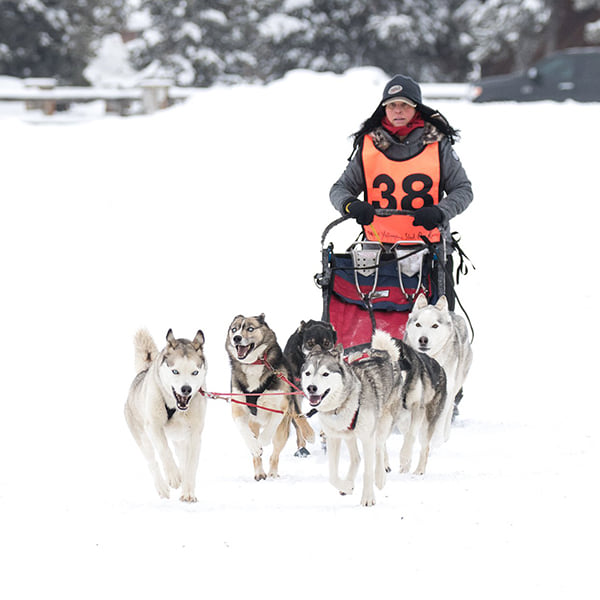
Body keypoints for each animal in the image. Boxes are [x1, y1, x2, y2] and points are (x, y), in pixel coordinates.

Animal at [123, 328, 207, 502]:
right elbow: (164, 450)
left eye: (195, 372)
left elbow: (190, 466)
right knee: (152, 462)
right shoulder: (154, 427)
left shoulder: (195, 435)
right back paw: (162, 487)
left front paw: (188, 493)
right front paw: (173, 477)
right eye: (175, 371)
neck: (176, 407)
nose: (186, 389)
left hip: (180, 440)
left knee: (182, 459)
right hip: (143, 438)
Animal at [225, 314, 314, 478]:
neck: (253, 365)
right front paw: (255, 446)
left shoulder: (280, 407)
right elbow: (244, 432)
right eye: (234, 329)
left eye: (250, 328)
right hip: (254, 424)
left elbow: (268, 432)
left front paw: (262, 441)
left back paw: (272, 473)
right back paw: (260, 473)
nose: (236, 338)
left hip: (283, 427)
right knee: (257, 456)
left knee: (275, 454)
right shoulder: (238, 409)